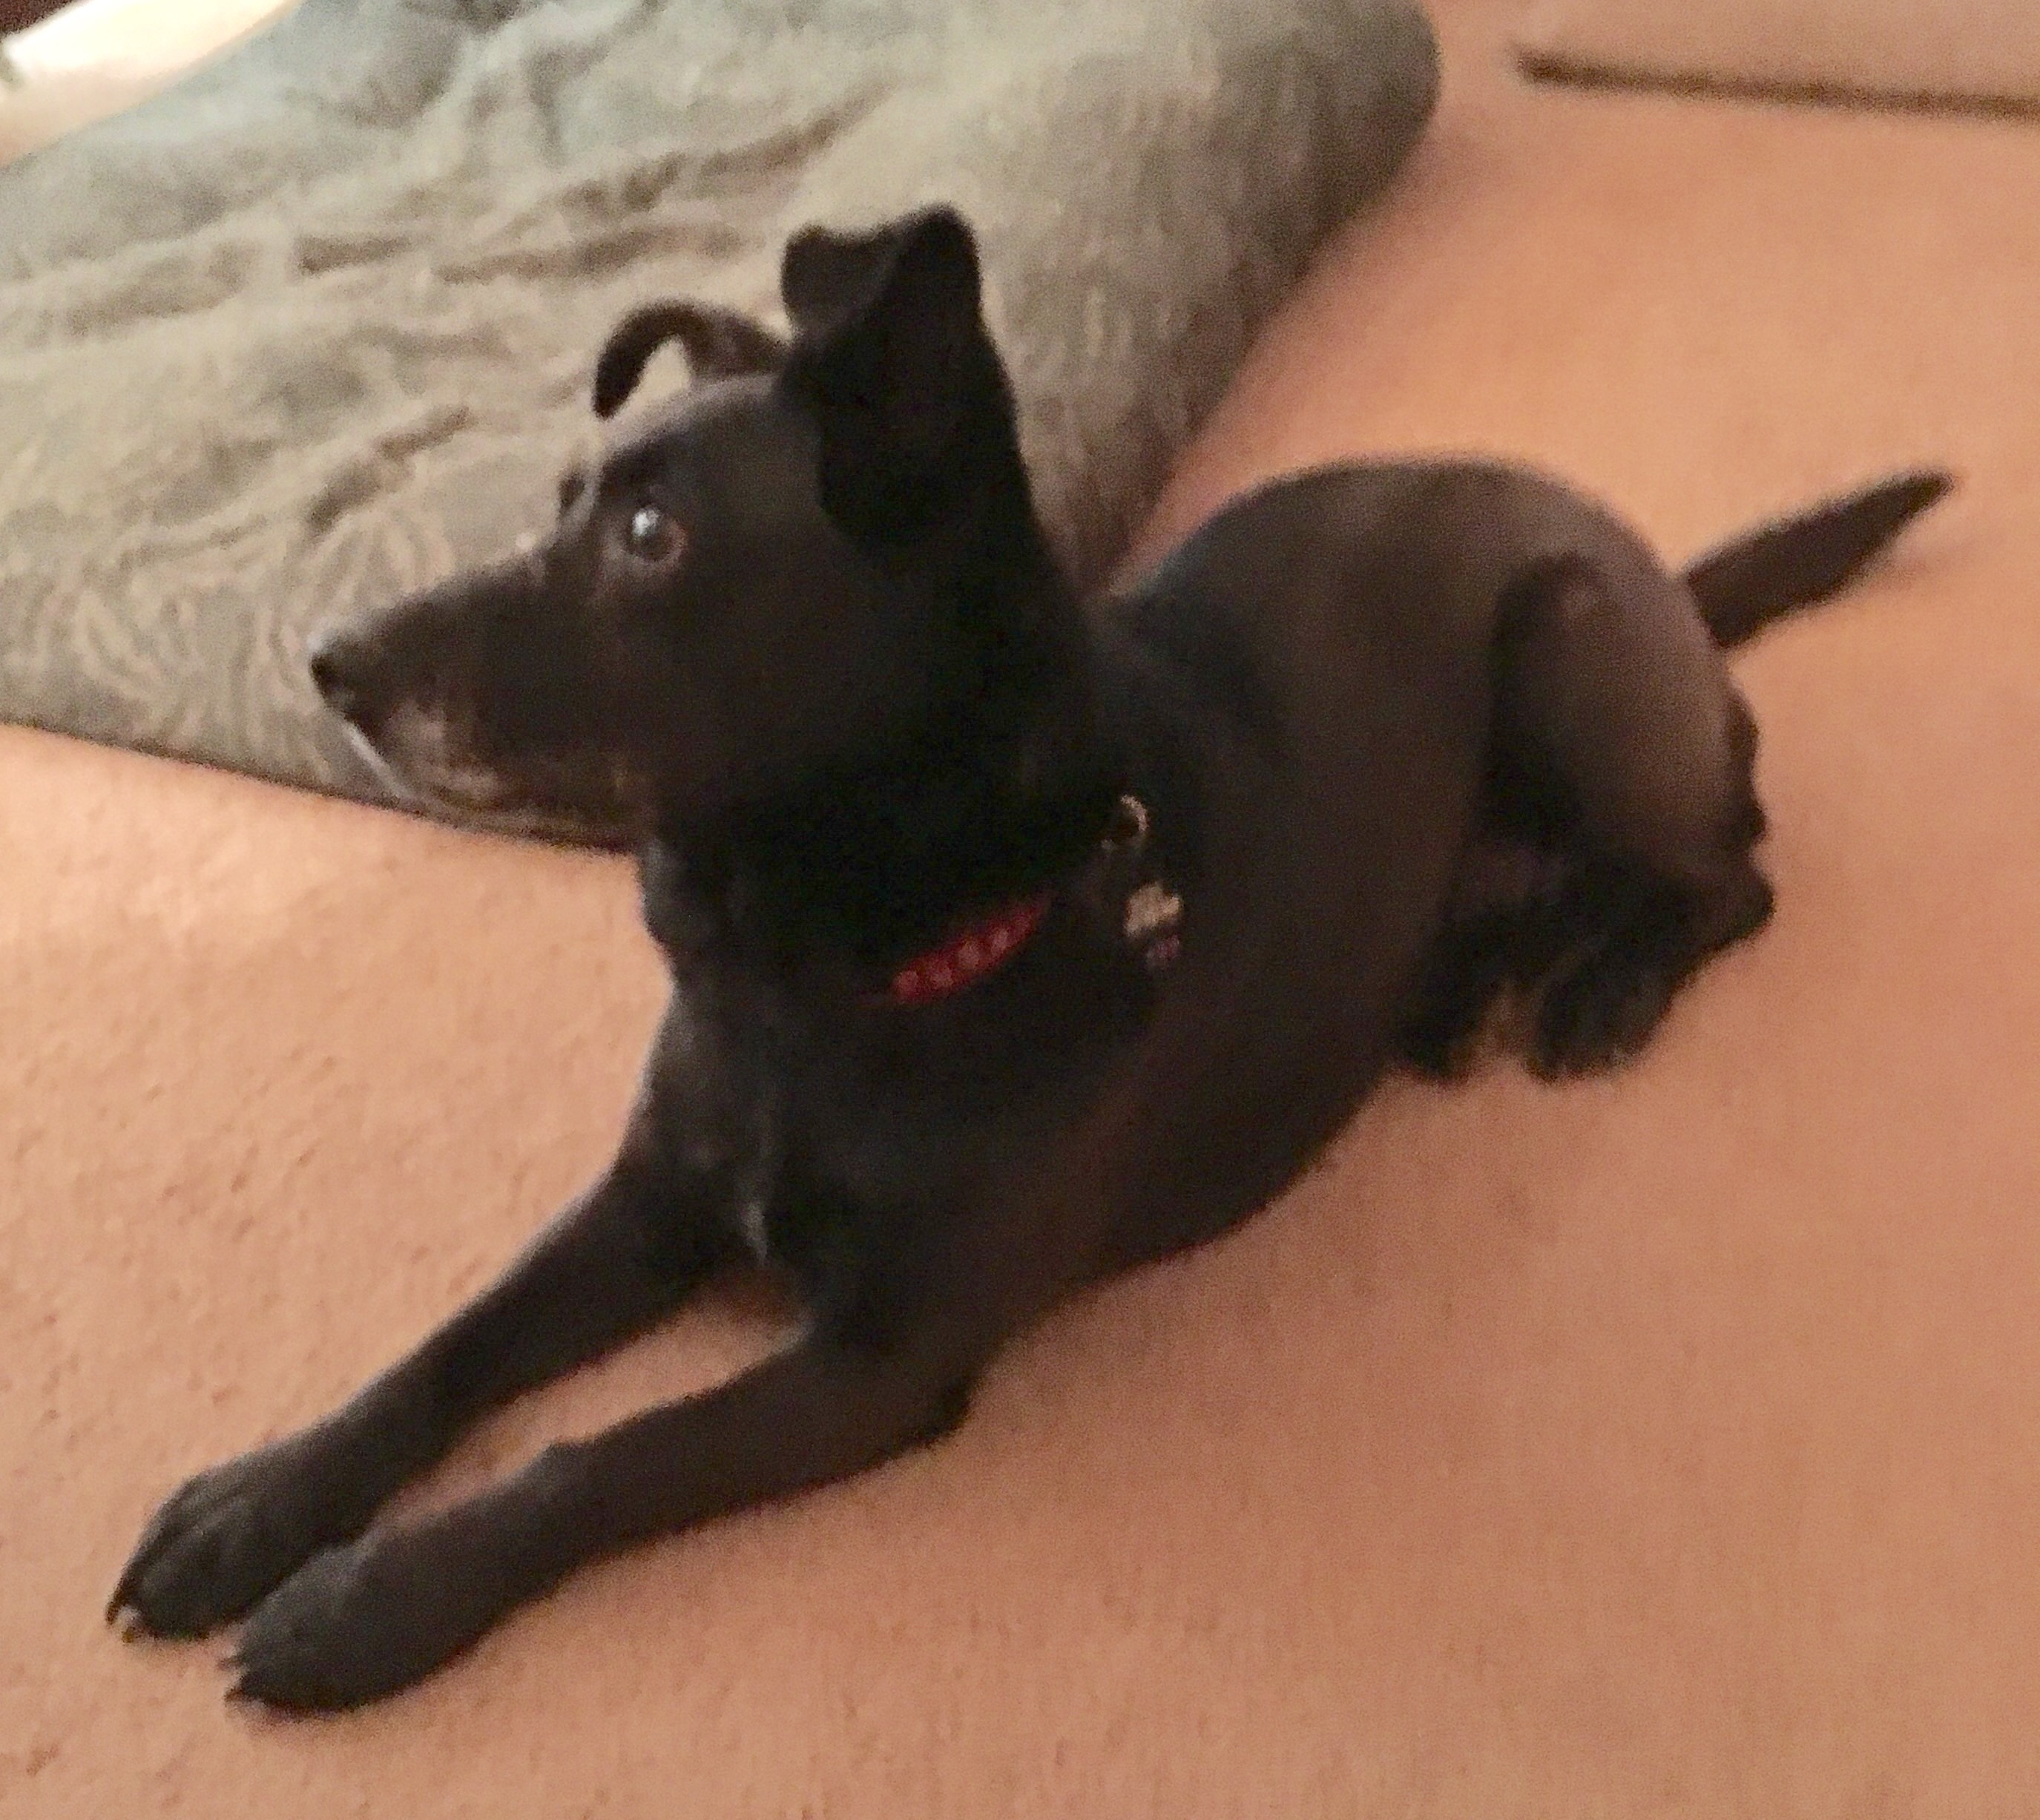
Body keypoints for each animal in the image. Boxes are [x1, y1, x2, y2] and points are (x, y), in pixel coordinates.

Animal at [107, 204, 1948, 1712]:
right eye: (565, 501)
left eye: (650, 537)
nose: (332, 662)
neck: (806, 977)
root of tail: (1655, 568)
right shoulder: (646, 1200)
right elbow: (452, 1346)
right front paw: (260, 1504)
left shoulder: (877, 1358)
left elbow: (592, 1453)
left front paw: (369, 1598)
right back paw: (1460, 986)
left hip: (1565, 641)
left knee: (1735, 872)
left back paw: (1599, 985)